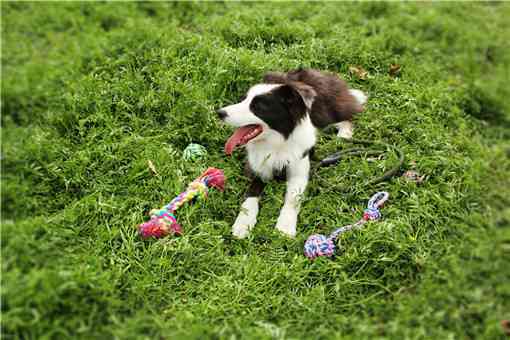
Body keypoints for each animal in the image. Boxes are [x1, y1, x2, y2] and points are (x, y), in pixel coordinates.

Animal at [215, 68, 366, 239]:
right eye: (243, 100)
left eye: (258, 106)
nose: (219, 112)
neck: (277, 143)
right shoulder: (258, 168)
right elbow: (250, 196)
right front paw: (243, 222)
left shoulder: (299, 170)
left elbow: (292, 199)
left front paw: (285, 226)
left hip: (326, 111)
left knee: (348, 116)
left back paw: (344, 134)